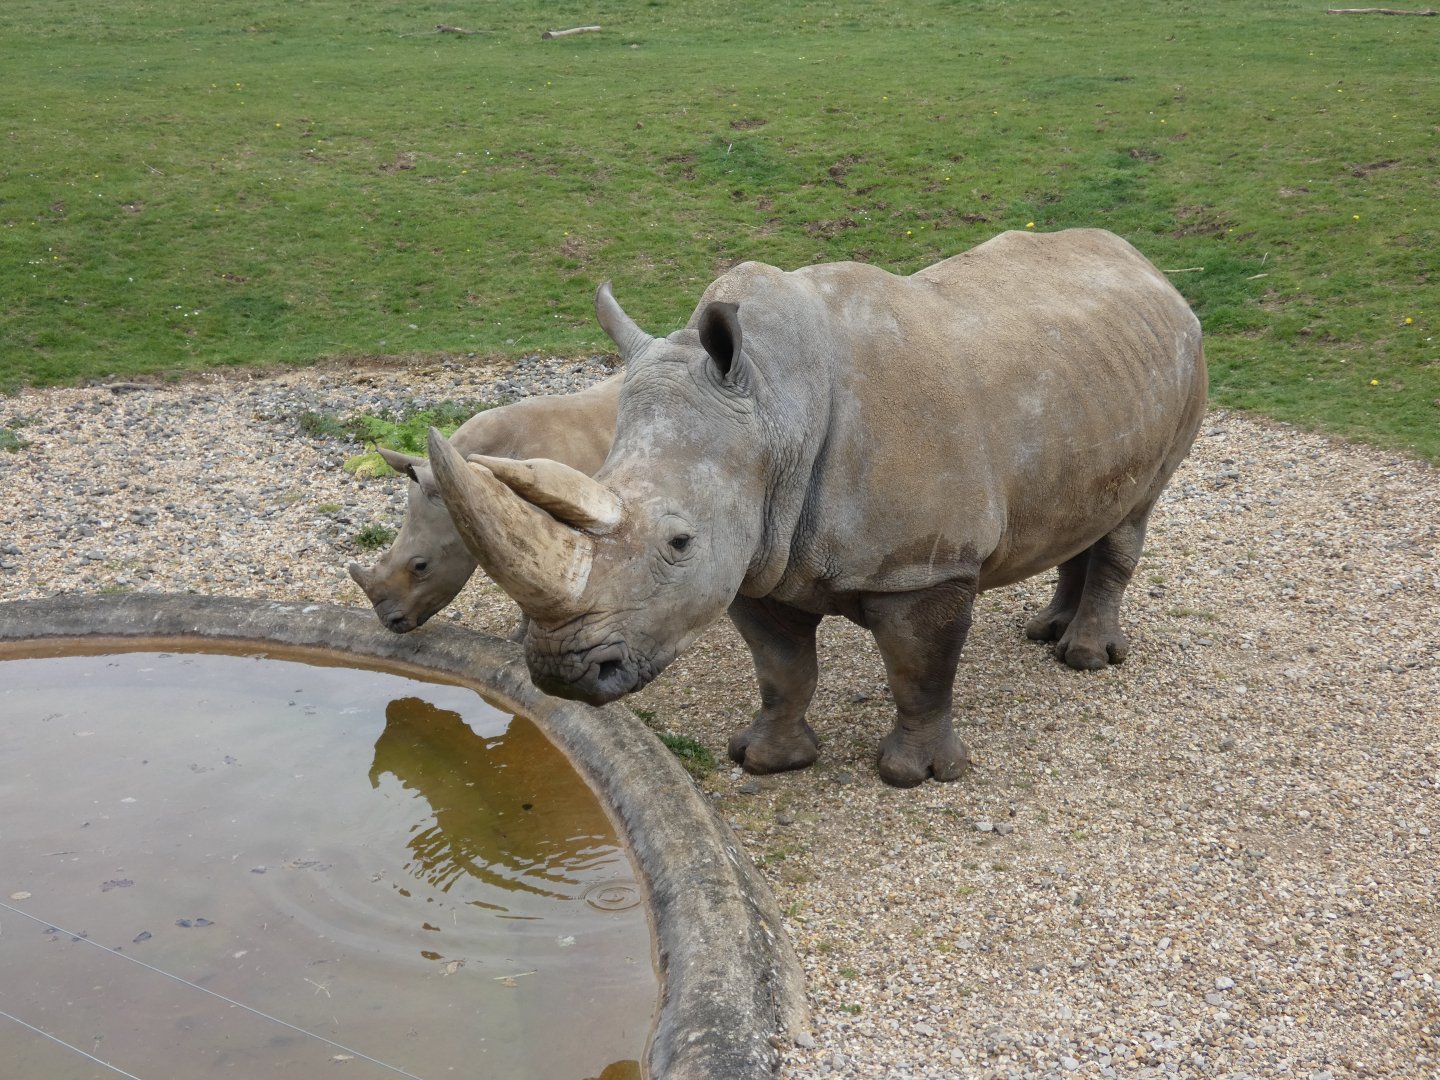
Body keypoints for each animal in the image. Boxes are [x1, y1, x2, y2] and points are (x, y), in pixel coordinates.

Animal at [426, 229, 1208, 787]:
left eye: (679, 543)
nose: (561, 672)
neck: (775, 409)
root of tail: (1146, 264)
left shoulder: (923, 567)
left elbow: (919, 668)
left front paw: (915, 776)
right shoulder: (755, 554)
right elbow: (783, 669)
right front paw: (766, 761)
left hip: (1185, 357)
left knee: (1134, 513)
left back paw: (1084, 660)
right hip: (1095, 372)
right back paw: (1044, 633)